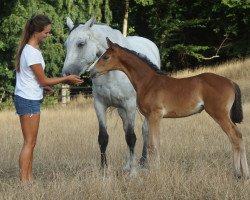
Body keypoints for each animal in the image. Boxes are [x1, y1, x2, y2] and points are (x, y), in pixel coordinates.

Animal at [61, 16, 161, 173]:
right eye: (66, 45)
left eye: (81, 44)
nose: (66, 74)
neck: (113, 70)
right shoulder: (100, 105)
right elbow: (103, 138)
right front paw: (104, 170)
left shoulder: (129, 105)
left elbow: (132, 137)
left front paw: (133, 172)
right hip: (121, 110)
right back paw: (128, 164)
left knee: (145, 130)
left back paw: (143, 163)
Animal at [89, 38, 249, 179]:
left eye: (105, 57)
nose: (91, 72)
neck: (148, 82)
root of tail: (230, 82)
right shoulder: (149, 117)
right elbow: (151, 144)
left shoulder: (155, 116)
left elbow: (154, 145)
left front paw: (155, 172)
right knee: (238, 137)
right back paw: (243, 174)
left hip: (219, 114)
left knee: (235, 136)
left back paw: (238, 174)